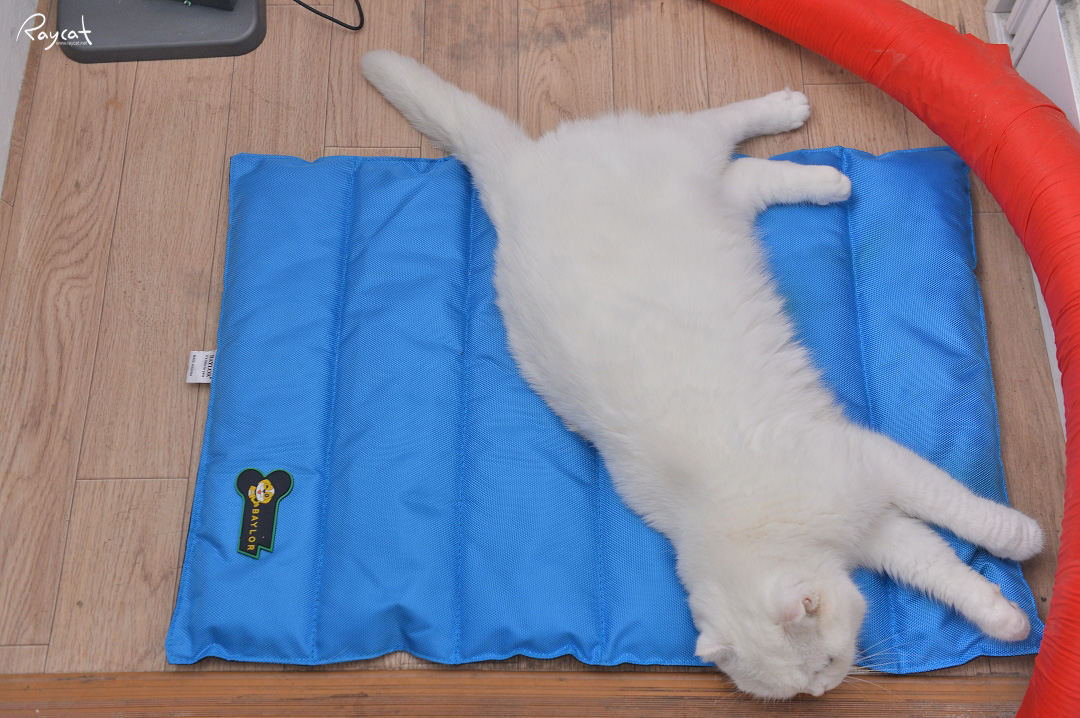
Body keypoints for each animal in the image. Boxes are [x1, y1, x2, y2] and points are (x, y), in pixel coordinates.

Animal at [360, 50, 1044, 699]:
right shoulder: (879, 529)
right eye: (805, 683)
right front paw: (1006, 619)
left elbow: (959, 509)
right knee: (744, 177)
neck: (737, 517)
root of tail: (519, 173)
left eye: (824, 662)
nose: (825, 688)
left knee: (721, 125)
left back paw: (794, 122)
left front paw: (1021, 540)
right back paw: (829, 179)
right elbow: (941, 568)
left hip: (678, 146)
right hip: (710, 202)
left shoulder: (872, 464)